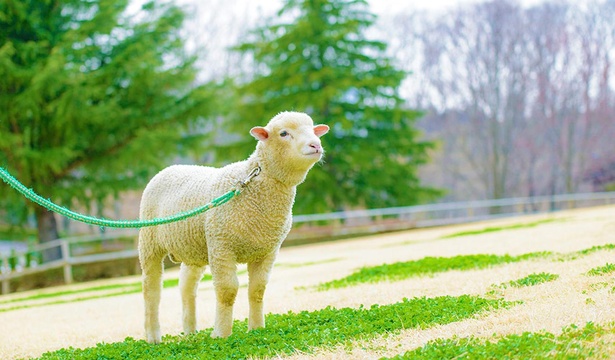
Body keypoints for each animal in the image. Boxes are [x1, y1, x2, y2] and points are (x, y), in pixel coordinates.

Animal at [137, 111, 330, 342]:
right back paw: (153, 337)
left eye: (313, 129)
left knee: (186, 286)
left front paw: (256, 328)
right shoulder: (222, 246)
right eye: (284, 133)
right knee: (151, 288)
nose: (316, 145)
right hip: (150, 241)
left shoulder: (267, 250)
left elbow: (257, 289)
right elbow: (227, 291)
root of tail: (169, 169)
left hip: (195, 247)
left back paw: (190, 331)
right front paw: (221, 333)